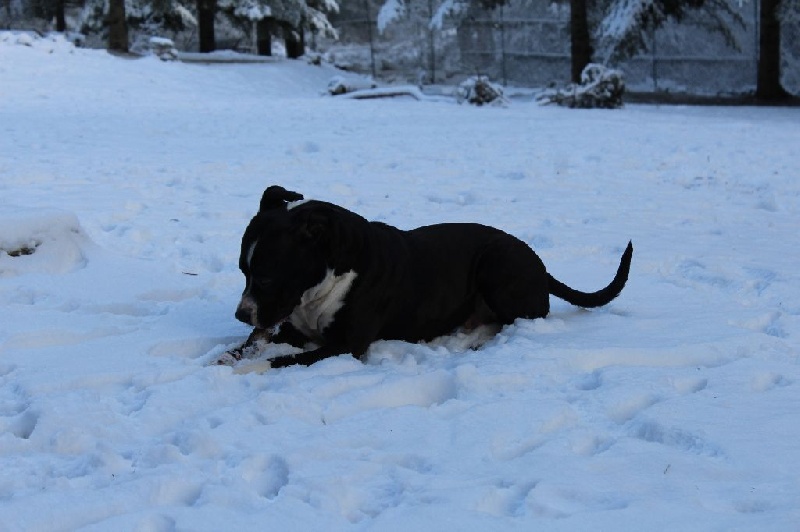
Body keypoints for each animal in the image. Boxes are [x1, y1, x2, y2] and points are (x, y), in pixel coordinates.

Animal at [232, 186, 632, 368]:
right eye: (243, 271)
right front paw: (230, 356)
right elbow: (248, 346)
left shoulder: (346, 344)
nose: (241, 314)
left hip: (496, 263)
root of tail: (542, 268)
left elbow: (282, 360)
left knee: (516, 323)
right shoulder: (294, 327)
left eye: (265, 278)